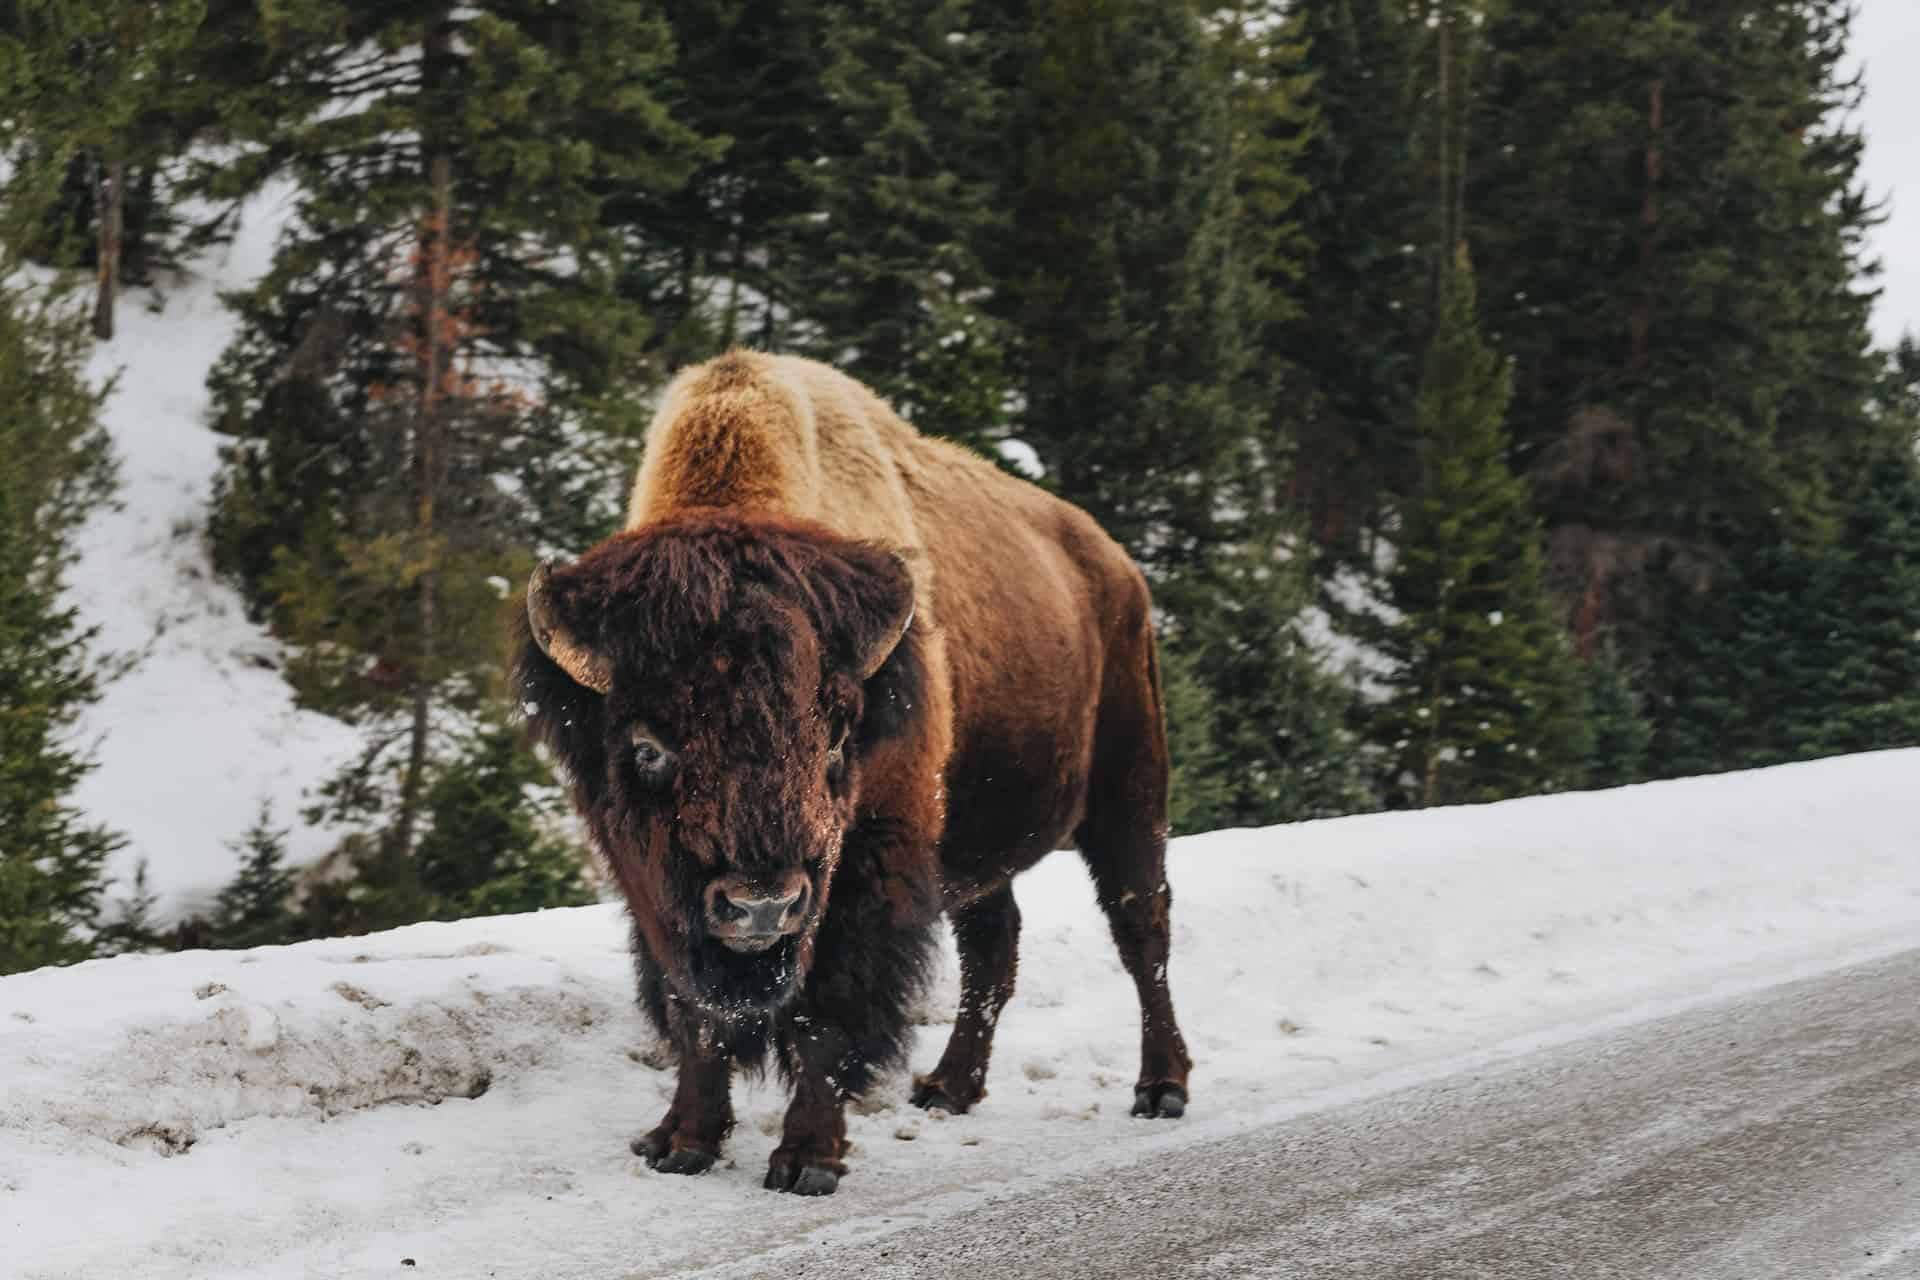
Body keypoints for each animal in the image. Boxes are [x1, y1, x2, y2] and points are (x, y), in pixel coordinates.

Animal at [518, 347, 1190, 1189]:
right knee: (994, 945)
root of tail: (1116, 566)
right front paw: (680, 1143)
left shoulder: (862, 879)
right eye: (648, 748)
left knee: (1142, 927)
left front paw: (807, 1158)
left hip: (1129, 793)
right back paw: (948, 1088)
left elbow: (827, 1016)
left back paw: (1161, 1087)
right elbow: (697, 1015)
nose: (763, 905)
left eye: (838, 742)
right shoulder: (659, 898)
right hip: (978, 844)